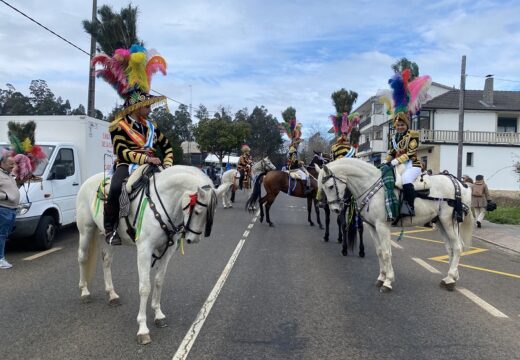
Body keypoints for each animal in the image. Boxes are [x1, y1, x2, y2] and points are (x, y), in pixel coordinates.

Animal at [77, 165, 221, 344]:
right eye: (198, 211)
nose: (193, 239)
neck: (161, 203)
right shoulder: (144, 250)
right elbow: (145, 287)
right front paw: (143, 328)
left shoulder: (166, 251)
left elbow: (159, 281)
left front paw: (158, 315)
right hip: (86, 231)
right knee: (82, 258)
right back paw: (84, 291)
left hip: (107, 237)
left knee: (106, 261)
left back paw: (111, 294)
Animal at [316, 159, 476, 294]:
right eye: (323, 187)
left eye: (330, 186)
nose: (335, 209)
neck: (371, 185)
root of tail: (459, 183)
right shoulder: (372, 227)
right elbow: (380, 252)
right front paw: (381, 277)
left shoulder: (382, 226)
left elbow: (387, 253)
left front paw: (388, 281)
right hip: (440, 222)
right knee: (450, 249)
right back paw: (451, 277)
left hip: (448, 221)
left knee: (457, 247)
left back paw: (451, 279)